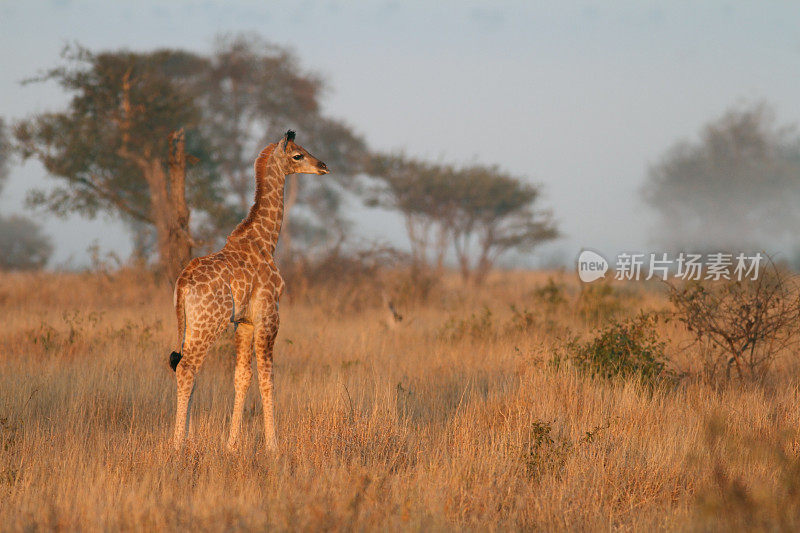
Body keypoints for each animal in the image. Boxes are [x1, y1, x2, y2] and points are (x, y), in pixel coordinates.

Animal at [169, 131, 328, 450]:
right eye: (298, 155)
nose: (323, 166)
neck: (266, 241)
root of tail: (182, 283)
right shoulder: (269, 316)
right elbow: (268, 378)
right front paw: (273, 446)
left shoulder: (244, 322)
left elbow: (241, 377)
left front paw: (231, 445)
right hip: (209, 324)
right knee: (187, 368)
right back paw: (177, 444)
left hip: (192, 324)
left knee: (188, 368)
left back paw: (188, 439)